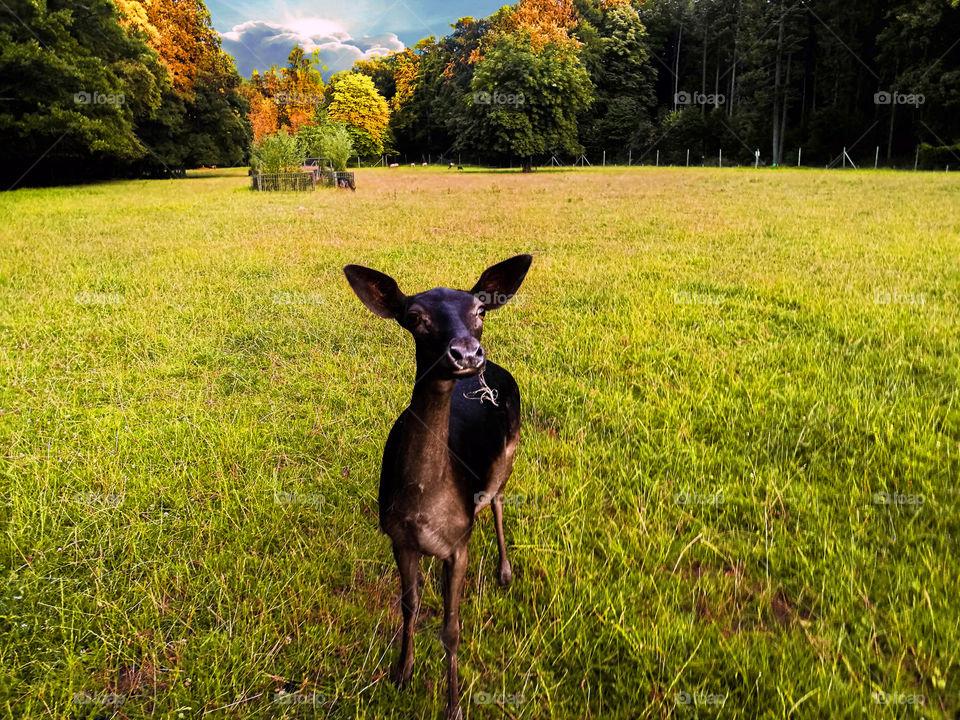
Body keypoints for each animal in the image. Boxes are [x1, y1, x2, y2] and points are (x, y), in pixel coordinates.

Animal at [344, 255, 532, 720]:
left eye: (479, 310)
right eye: (414, 317)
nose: (466, 353)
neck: (423, 507)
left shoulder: (459, 544)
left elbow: (451, 628)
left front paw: (454, 706)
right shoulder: (398, 537)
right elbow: (409, 606)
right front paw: (401, 673)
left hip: (510, 449)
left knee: (497, 499)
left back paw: (504, 571)